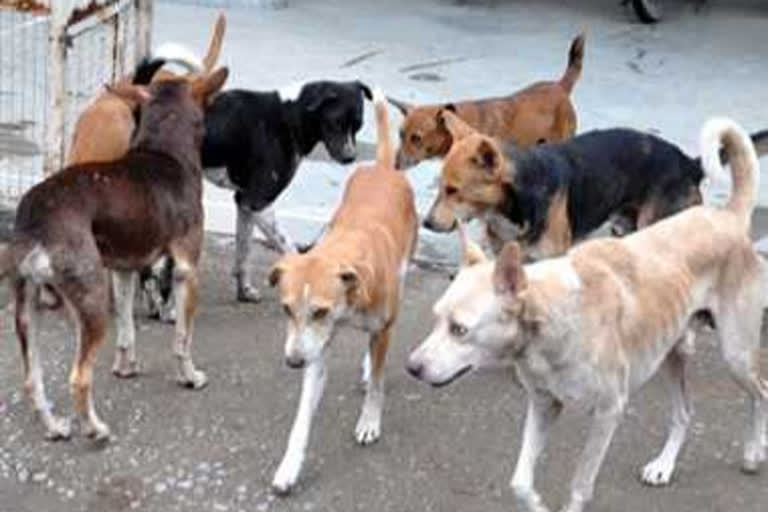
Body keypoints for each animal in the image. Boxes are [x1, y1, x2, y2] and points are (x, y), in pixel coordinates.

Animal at [0, 69, 228, 444]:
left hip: (27, 309)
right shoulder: (187, 269)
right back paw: (95, 429)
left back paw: (56, 427)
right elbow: (182, 339)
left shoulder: (123, 270)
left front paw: (126, 367)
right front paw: (190, 376)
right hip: (91, 302)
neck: (165, 152)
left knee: (32, 380)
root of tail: (38, 219)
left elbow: (127, 331)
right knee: (78, 378)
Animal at [268, 87, 416, 492]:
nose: (292, 362)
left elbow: (379, 383)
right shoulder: (315, 348)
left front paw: (369, 422)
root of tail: (381, 167)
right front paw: (289, 466)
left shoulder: (377, 326)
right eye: (286, 309)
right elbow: (301, 419)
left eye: (319, 310)